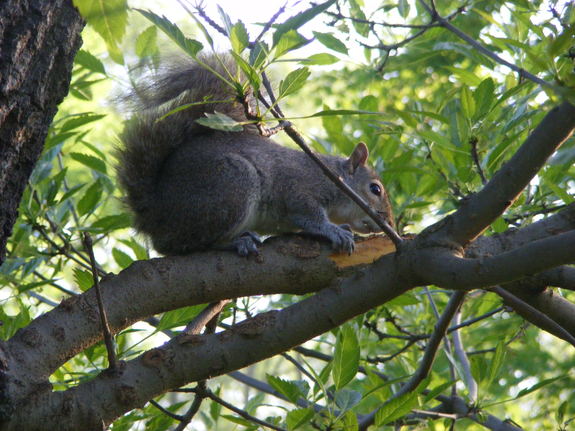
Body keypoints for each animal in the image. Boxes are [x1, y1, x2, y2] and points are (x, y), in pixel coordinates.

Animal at [117, 54, 396, 256]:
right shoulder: (300, 188)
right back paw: (234, 242)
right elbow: (309, 215)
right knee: (178, 245)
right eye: (375, 189)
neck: (333, 178)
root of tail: (154, 212)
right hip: (231, 185)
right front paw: (333, 230)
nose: (391, 223)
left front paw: (341, 226)